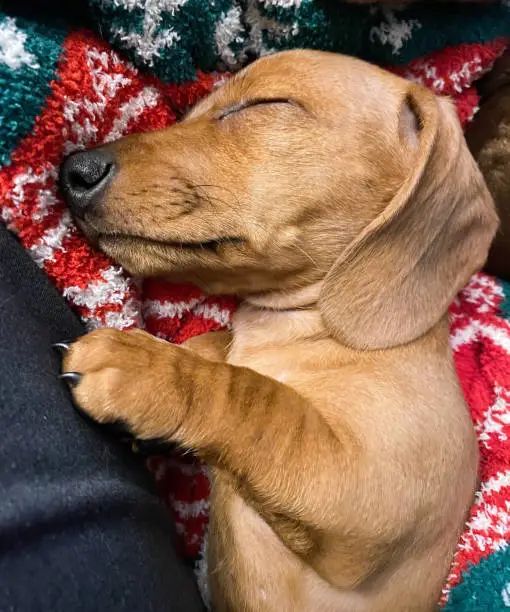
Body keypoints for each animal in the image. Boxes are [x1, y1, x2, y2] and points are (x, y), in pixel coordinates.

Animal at [57, 50, 496, 608]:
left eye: (266, 104)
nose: (73, 170)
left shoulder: (366, 491)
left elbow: (260, 400)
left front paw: (143, 369)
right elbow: (216, 346)